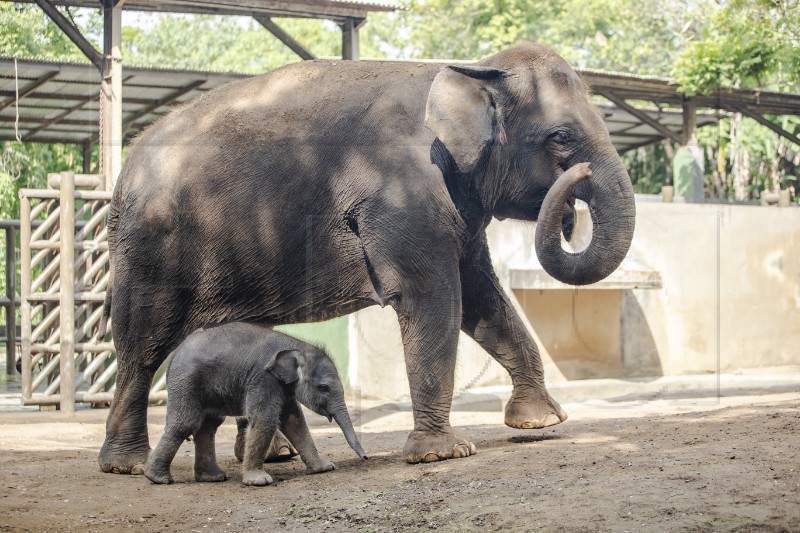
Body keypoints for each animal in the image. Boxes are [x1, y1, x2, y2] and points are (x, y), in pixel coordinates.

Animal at [145, 320, 368, 486]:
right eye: (324, 388)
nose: (365, 458)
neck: (296, 345)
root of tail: (174, 355)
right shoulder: (263, 379)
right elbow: (265, 420)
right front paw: (259, 481)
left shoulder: (284, 385)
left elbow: (294, 422)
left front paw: (324, 468)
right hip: (186, 382)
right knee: (186, 423)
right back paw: (158, 479)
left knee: (209, 426)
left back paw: (212, 477)